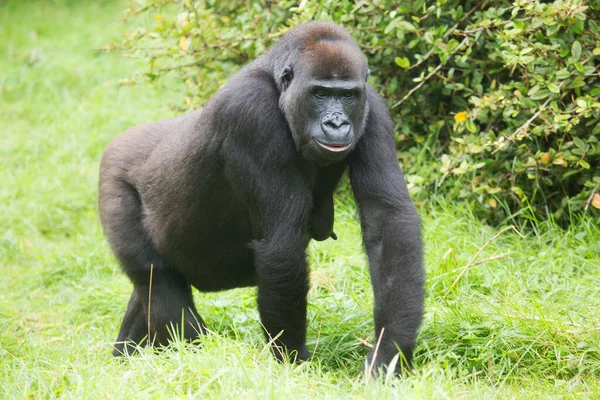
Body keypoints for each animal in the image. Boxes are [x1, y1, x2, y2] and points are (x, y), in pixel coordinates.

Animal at [98, 20, 424, 374]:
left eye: (347, 96)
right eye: (320, 93)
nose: (336, 123)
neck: (278, 86)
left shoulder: (372, 109)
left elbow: (388, 221)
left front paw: (390, 352)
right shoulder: (251, 113)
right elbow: (282, 244)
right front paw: (292, 362)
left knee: (150, 288)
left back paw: (127, 357)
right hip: (114, 180)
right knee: (158, 280)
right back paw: (190, 357)